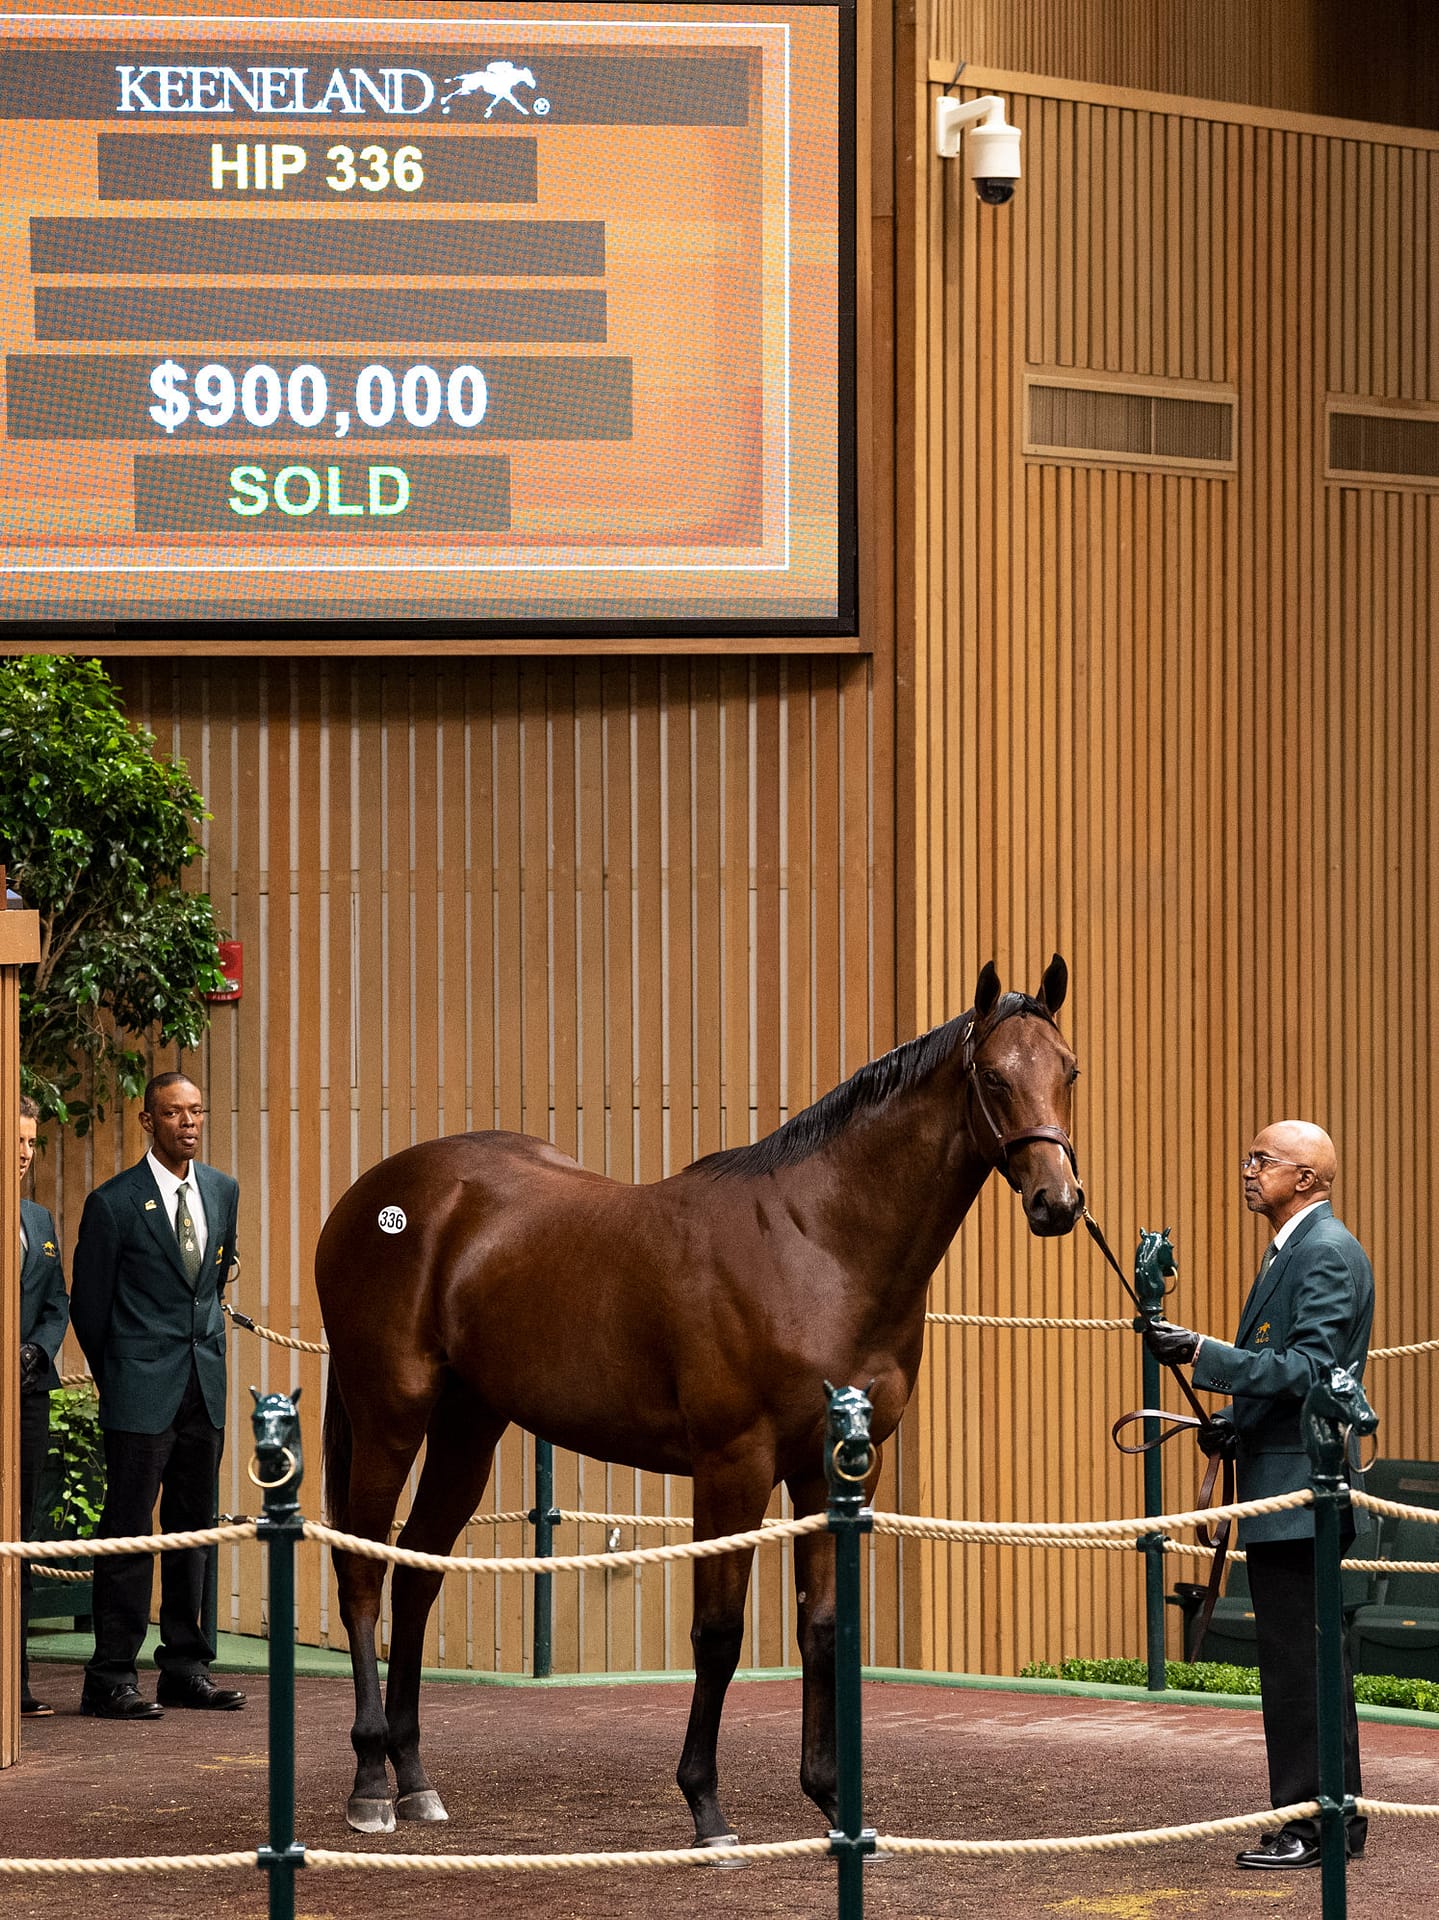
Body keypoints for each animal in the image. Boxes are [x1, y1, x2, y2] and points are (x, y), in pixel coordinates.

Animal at [316, 956, 1085, 1840]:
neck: (816, 1245)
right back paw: (371, 1784)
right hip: (389, 1415)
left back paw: (413, 1778)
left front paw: (831, 1801)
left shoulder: (836, 1469)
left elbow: (822, 1627)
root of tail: (374, 1197)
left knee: (418, 1572)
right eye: (992, 1077)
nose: (1059, 1203)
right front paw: (706, 1806)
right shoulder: (733, 1466)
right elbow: (718, 1634)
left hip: (468, 1427)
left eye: (1068, 1071)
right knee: (362, 1570)